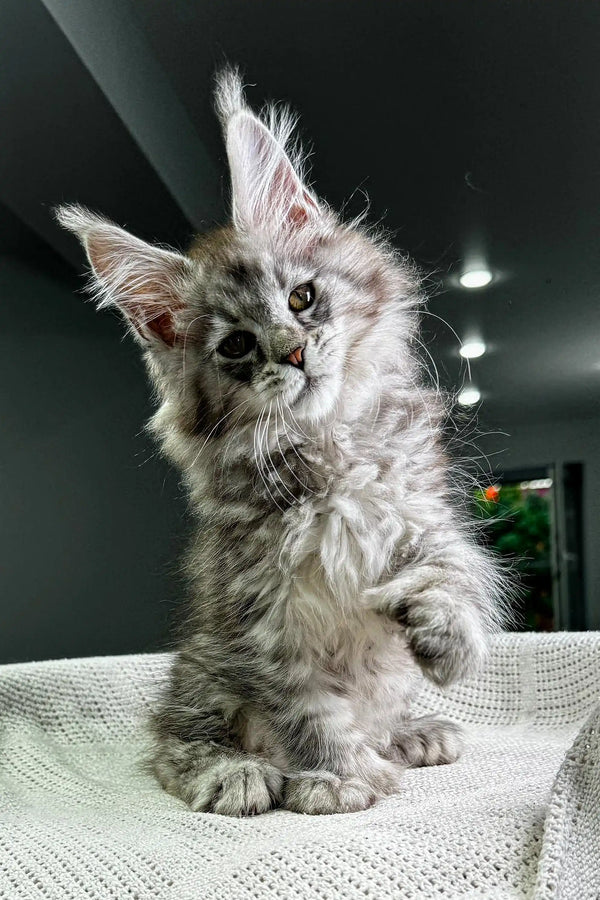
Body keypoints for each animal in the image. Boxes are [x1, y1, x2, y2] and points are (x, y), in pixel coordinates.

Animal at [57, 68, 506, 816]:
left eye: (301, 298)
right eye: (237, 345)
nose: (292, 352)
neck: (330, 451)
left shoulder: (419, 513)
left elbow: (452, 568)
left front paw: (446, 634)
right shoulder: (262, 618)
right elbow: (308, 709)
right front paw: (339, 777)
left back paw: (412, 732)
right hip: (203, 667)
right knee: (173, 742)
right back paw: (234, 771)